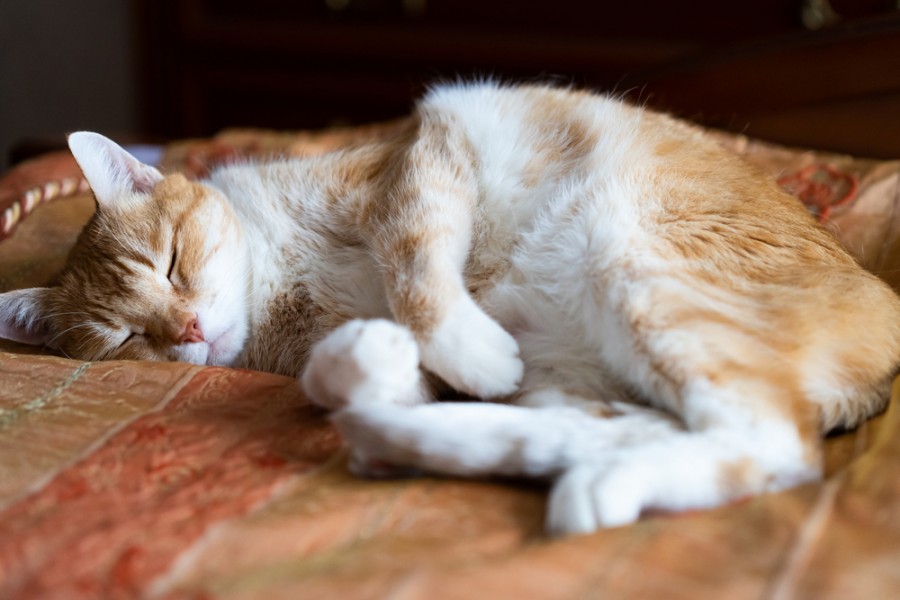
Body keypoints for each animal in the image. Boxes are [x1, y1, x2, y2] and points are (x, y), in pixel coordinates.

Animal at [1, 81, 900, 536]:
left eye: (171, 261)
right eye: (126, 337)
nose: (186, 330)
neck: (282, 289)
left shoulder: (422, 162)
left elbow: (417, 272)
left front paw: (462, 344)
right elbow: (414, 339)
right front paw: (398, 364)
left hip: (635, 260)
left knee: (772, 445)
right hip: (579, 373)